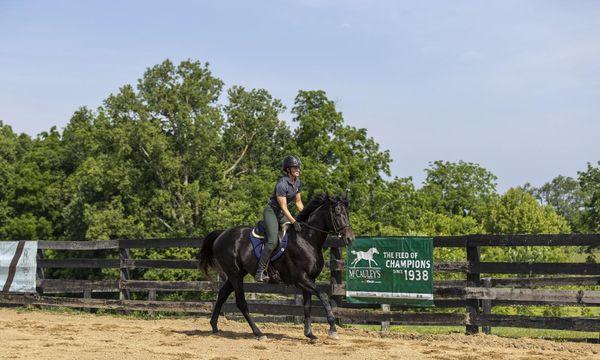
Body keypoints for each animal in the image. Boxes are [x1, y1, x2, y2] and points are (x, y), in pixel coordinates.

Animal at [199, 193, 354, 342]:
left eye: (347, 213)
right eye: (337, 213)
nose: (350, 238)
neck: (306, 240)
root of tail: (222, 234)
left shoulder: (309, 280)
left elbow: (307, 306)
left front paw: (309, 334)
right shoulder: (301, 279)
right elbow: (323, 295)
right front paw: (332, 328)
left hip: (237, 274)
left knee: (222, 295)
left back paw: (214, 326)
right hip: (234, 274)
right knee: (241, 302)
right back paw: (259, 333)